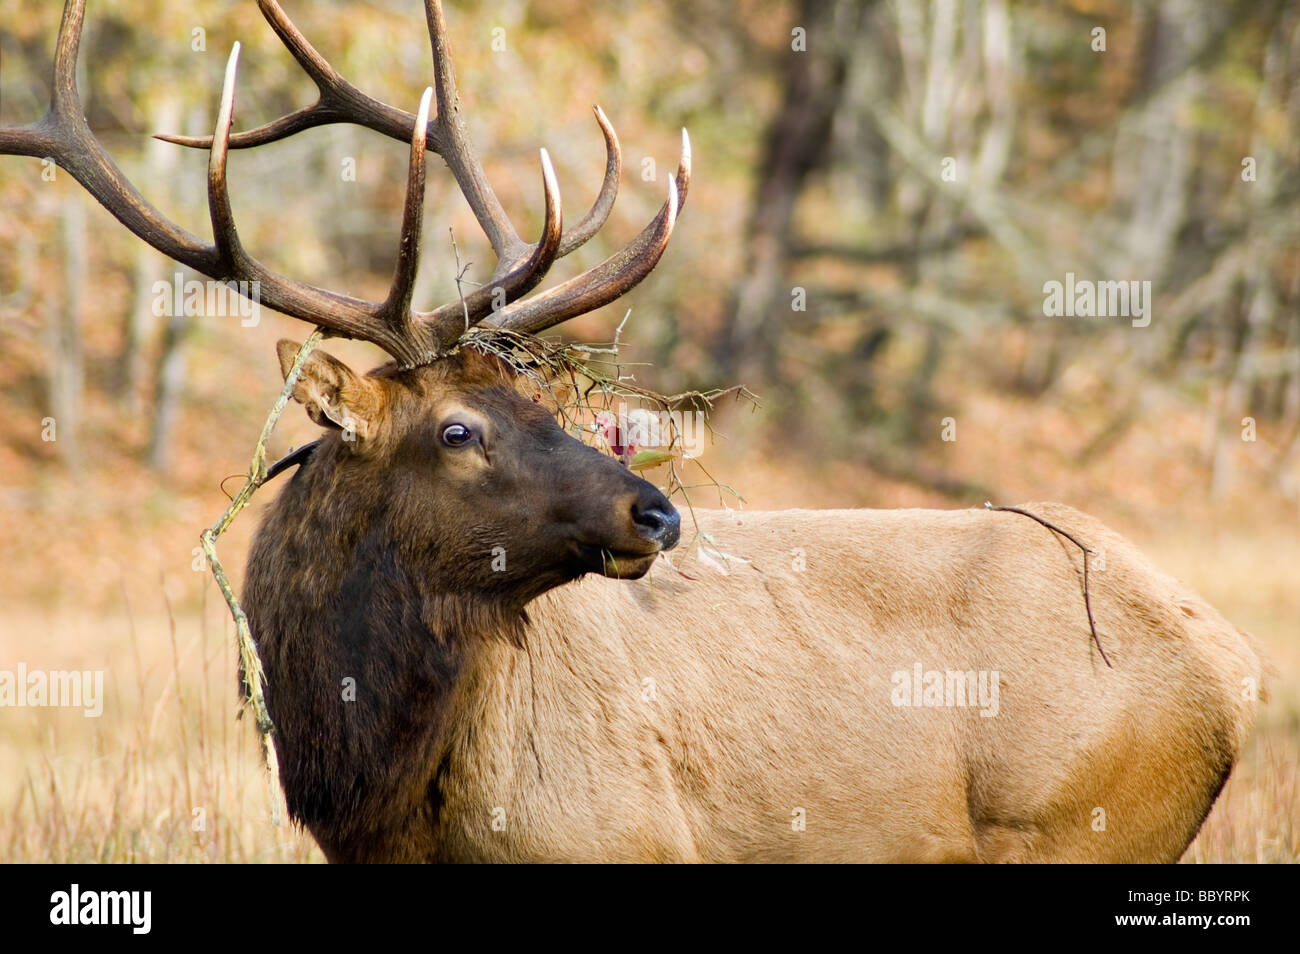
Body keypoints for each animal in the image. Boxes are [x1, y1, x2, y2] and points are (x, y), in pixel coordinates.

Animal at [0, 1, 1258, 868]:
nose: (655, 511)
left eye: (545, 410)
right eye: (457, 429)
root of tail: (1232, 667)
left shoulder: (617, 836)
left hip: (1081, 823)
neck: (382, 800)